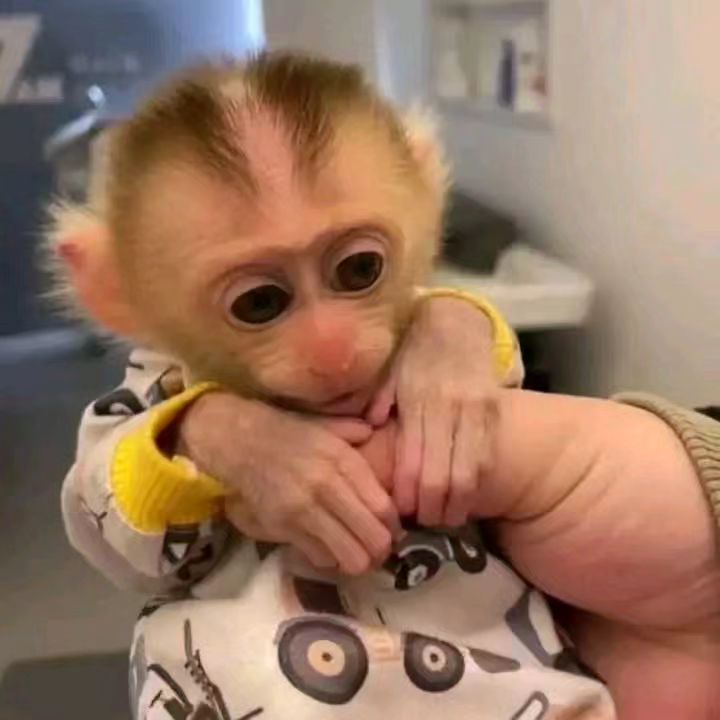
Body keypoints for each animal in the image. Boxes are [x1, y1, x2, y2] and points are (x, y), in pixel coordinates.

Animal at [50, 52, 615, 719]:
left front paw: (443, 363)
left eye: (359, 269)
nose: (333, 349)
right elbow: (107, 518)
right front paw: (272, 455)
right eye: (260, 303)